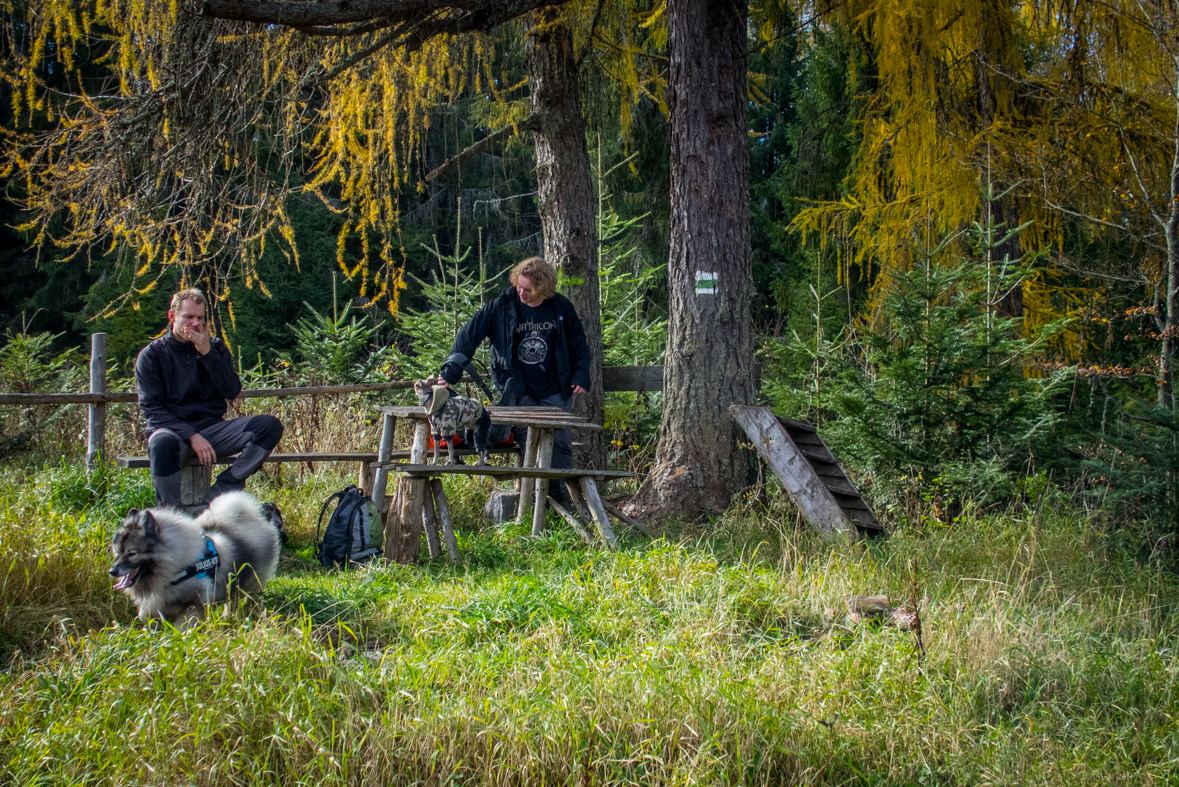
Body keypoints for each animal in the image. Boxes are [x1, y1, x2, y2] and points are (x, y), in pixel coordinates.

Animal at [112, 492, 282, 626]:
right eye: (117, 552)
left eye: (132, 554)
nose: (112, 571)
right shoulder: (155, 602)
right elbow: (145, 616)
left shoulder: (192, 604)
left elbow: (184, 626)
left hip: (246, 580)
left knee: (245, 597)